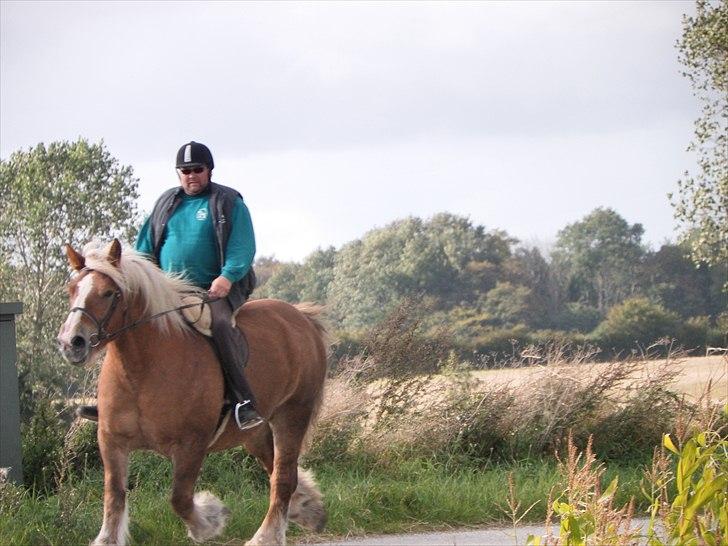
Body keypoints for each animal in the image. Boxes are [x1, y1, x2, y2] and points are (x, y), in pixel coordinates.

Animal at [58, 240, 328, 544]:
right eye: (72, 290)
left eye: (108, 293)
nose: (72, 343)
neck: (141, 371)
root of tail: (301, 317)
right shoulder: (111, 440)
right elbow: (114, 494)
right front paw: (107, 538)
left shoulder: (191, 445)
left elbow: (179, 498)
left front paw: (210, 520)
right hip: (255, 432)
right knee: (278, 472)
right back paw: (307, 507)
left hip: (292, 414)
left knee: (282, 477)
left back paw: (266, 535)